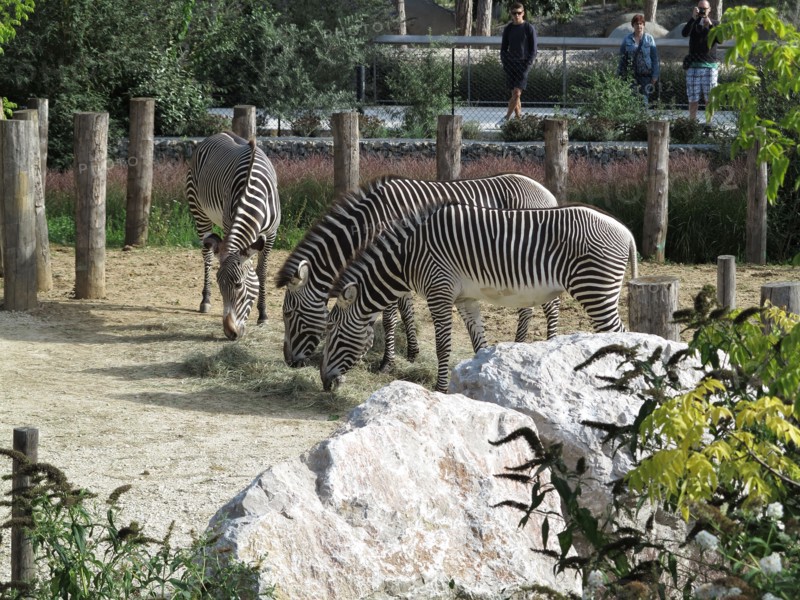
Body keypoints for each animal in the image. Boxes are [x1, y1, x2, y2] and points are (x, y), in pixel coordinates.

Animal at [185, 132, 280, 340]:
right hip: (199, 212)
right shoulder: (230, 223)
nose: (230, 333)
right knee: (207, 255)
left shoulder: (271, 234)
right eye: (220, 286)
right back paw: (205, 300)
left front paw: (263, 314)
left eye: (238, 285)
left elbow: (261, 271)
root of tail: (218, 133)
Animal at [275, 174, 559, 370]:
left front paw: (387, 363)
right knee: (527, 307)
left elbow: (389, 317)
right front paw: (412, 352)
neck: (370, 219)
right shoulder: (398, 263)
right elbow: (405, 309)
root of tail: (547, 192)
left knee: (550, 306)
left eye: (288, 313)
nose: (289, 362)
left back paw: (550, 346)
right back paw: (519, 346)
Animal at [321, 202, 638, 393]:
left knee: (622, 335)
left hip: (594, 288)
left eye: (333, 333)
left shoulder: (439, 292)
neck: (408, 256)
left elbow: (443, 348)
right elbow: (479, 343)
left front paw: (440, 391)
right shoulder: (465, 299)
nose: (324, 383)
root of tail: (626, 230)